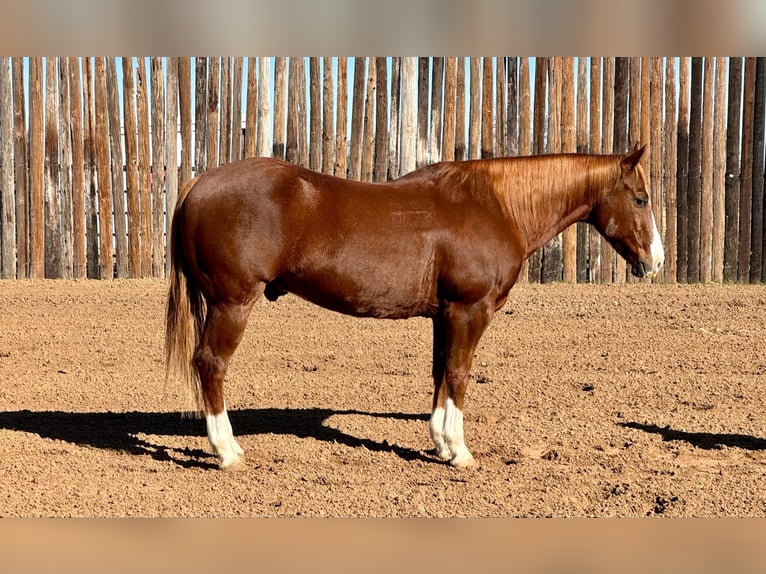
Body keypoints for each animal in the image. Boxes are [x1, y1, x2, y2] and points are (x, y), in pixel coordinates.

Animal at [165, 144, 664, 470]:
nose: (656, 261)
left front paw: (440, 443)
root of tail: (199, 182)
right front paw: (459, 452)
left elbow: (441, 372)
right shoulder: (470, 310)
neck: (497, 205)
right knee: (210, 364)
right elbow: (459, 374)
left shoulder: (445, 314)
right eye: (640, 198)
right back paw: (227, 452)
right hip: (233, 303)